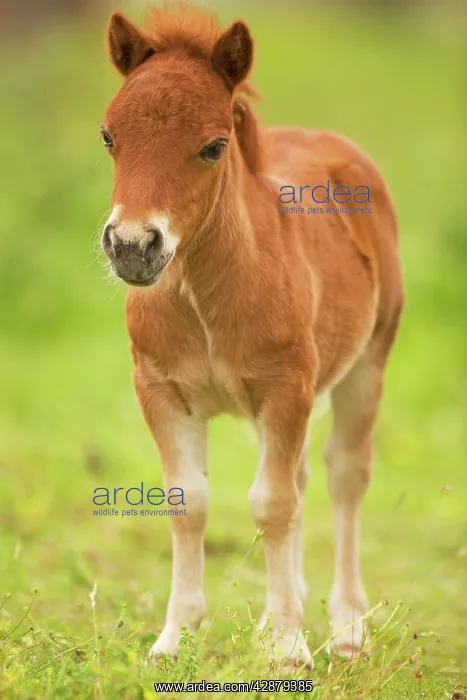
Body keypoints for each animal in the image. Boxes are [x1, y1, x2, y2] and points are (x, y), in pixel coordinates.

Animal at [100, 2, 404, 667]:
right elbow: (189, 503)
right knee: (302, 477)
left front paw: (289, 649)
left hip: (366, 364)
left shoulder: (285, 388)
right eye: (108, 136)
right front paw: (174, 639)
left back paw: (346, 626)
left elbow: (274, 504)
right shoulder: (159, 390)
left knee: (344, 475)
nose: (132, 246)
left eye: (215, 147)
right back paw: (272, 620)